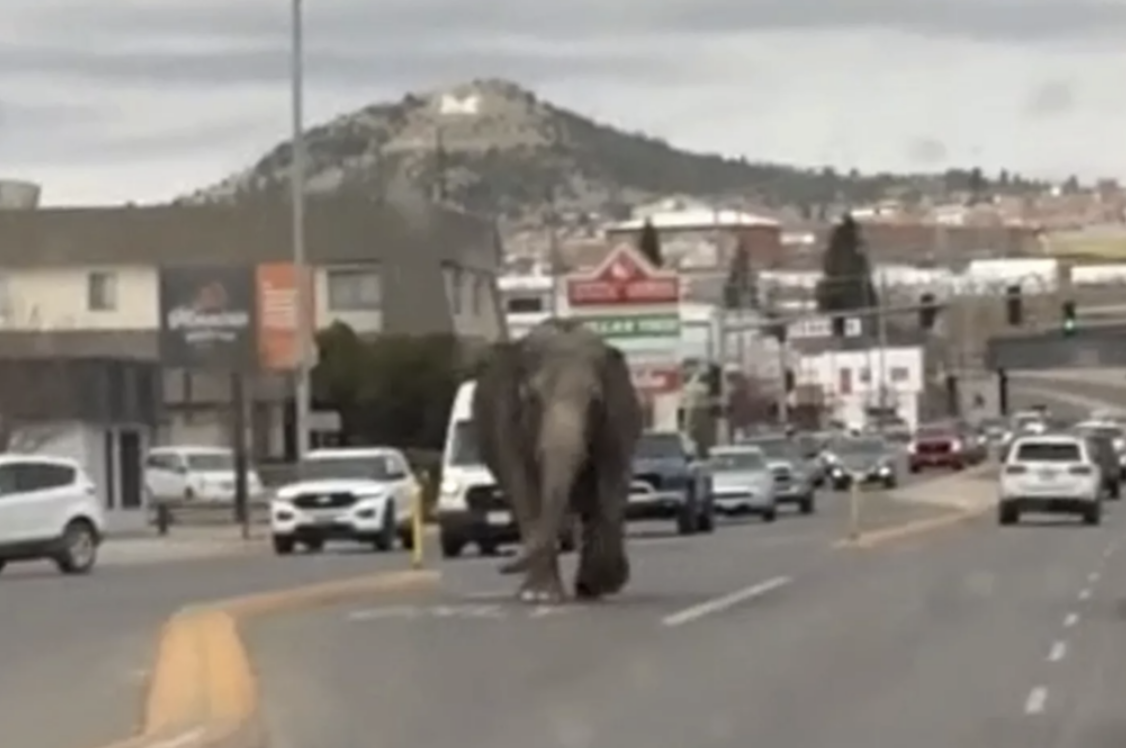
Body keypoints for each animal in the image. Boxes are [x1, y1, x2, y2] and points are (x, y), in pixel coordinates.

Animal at [468, 317, 644, 603]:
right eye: (532, 399)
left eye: (596, 401)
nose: (501, 566)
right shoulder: (507, 428)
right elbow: (525, 490)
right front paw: (539, 595)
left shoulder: (618, 423)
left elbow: (610, 485)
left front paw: (598, 584)